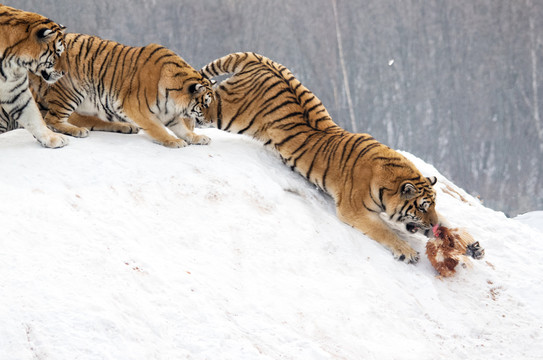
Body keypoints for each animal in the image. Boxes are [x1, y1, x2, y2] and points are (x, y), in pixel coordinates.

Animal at [28, 32, 214, 148]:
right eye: (205, 104)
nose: (211, 121)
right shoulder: (138, 109)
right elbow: (158, 129)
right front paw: (173, 141)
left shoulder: (170, 115)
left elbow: (183, 129)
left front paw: (198, 138)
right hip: (70, 93)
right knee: (53, 119)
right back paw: (77, 131)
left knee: (89, 120)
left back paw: (125, 127)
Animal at [202, 51, 486, 264]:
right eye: (422, 207)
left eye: (433, 205)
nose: (432, 224)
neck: (389, 181)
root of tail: (258, 60)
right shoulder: (354, 211)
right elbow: (384, 231)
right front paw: (407, 251)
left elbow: (448, 222)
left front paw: (472, 246)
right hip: (224, 112)